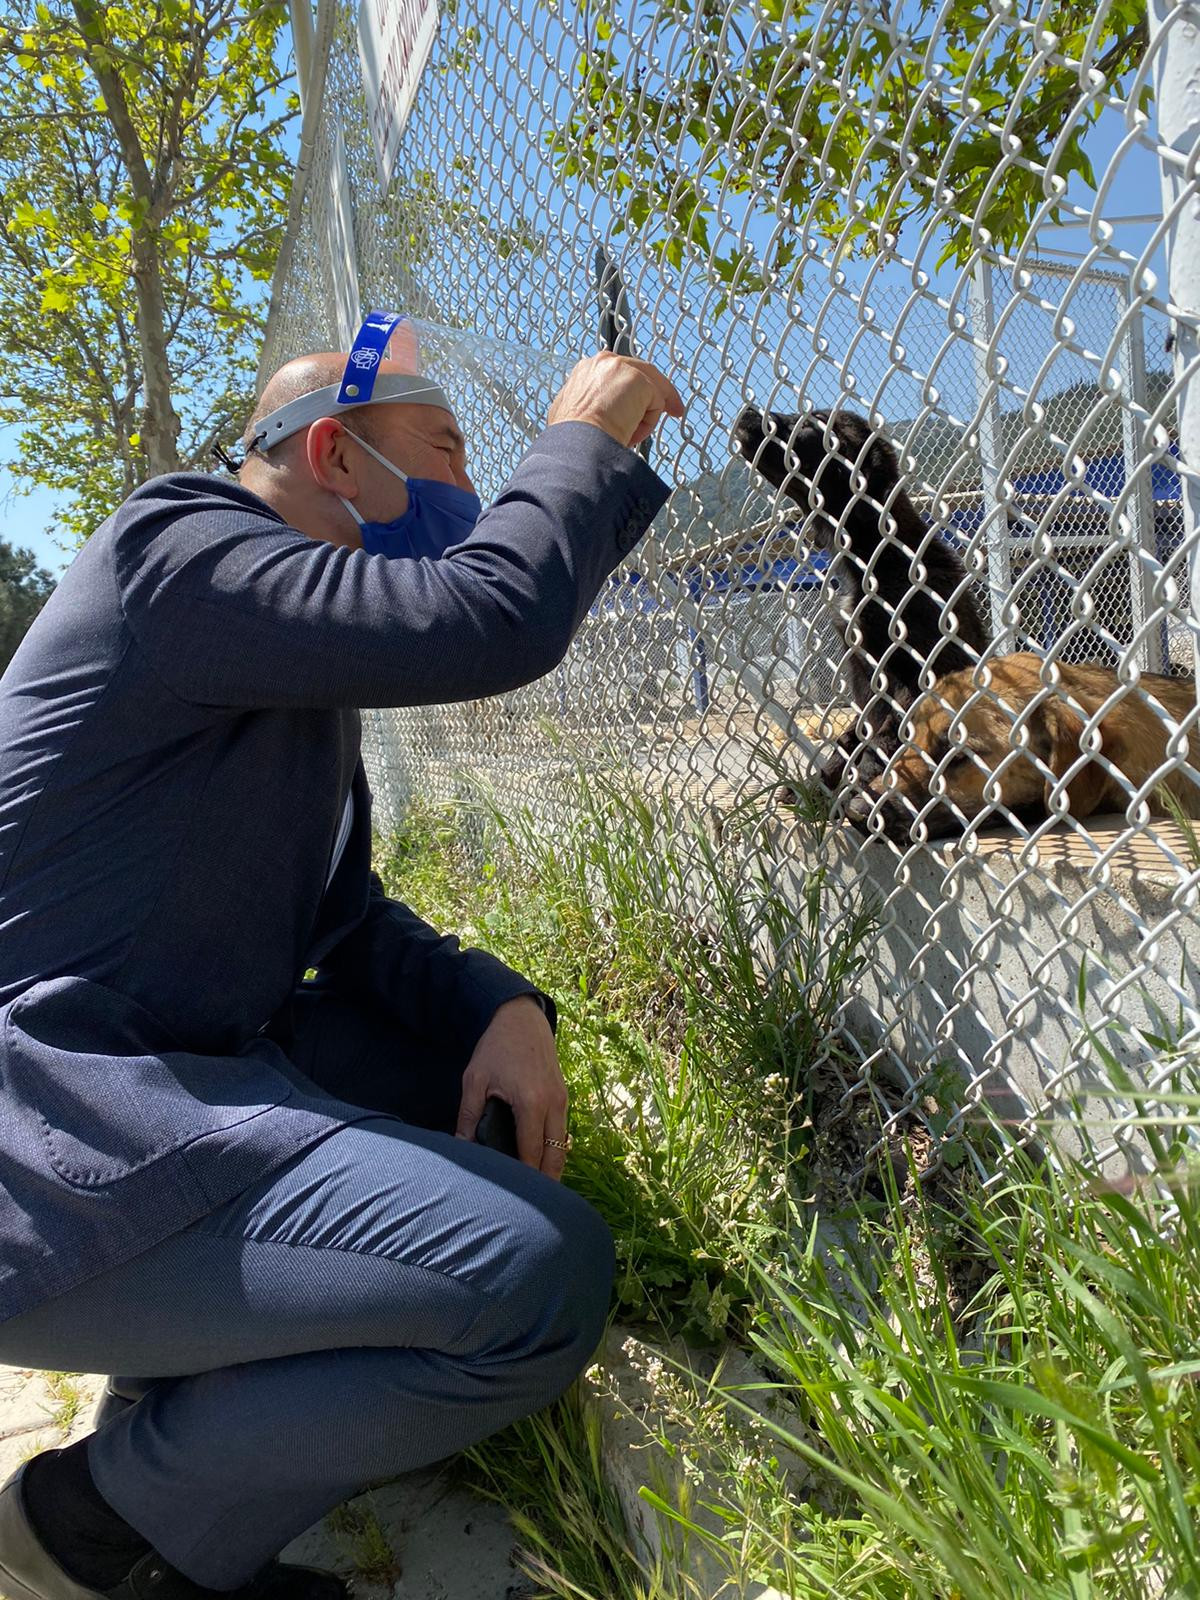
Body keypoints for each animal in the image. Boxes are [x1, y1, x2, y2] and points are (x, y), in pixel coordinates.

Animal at [739, 406, 992, 787]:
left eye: (813, 424)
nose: (747, 412)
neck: (875, 554)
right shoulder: (859, 663)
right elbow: (861, 728)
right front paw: (822, 780)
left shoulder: (917, 663)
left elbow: (890, 729)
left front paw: (864, 772)